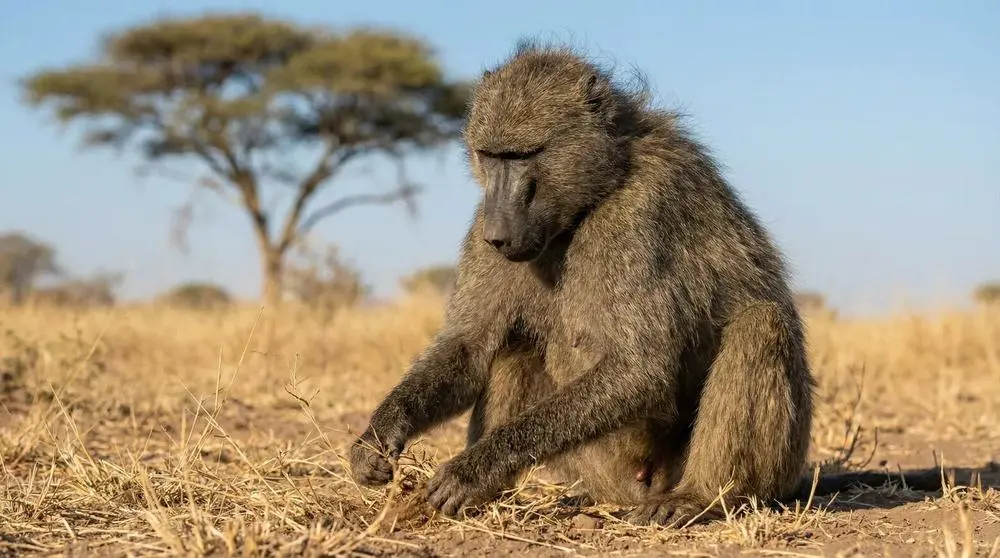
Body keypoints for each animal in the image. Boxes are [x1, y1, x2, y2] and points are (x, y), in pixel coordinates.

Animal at [348, 42, 975, 526]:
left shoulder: (641, 212)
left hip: (705, 462)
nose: (499, 233)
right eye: (489, 156)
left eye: (525, 155)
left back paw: (702, 497)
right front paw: (379, 439)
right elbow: (469, 346)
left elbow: (641, 367)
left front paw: (471, 470)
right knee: (514, 349)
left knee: (760, 324)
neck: (591, 197)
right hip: (598, 464)